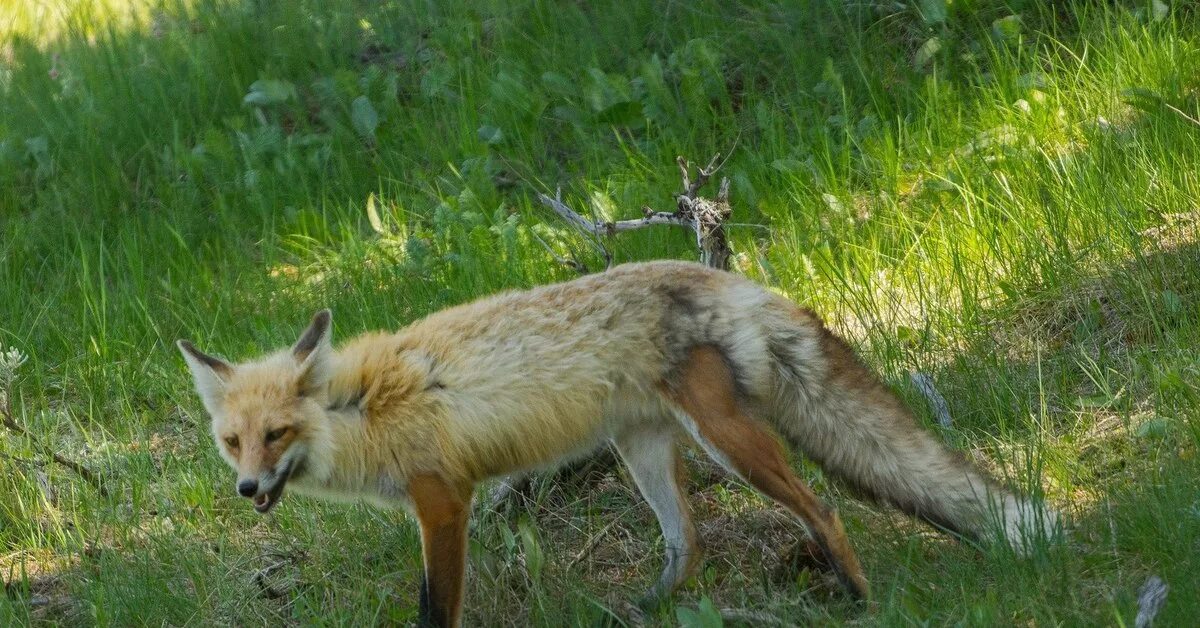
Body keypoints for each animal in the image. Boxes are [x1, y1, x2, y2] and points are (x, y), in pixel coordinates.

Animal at [180, 260, 1060, 628]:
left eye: (277, 435)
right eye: (233, 443)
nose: (249, 491)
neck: (360, 410)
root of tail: (734, 280)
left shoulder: (444, 501)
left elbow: (437, 609)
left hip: (727, 441)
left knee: (822, 508)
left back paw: (859, 599)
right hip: (647, 455)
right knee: (689, 543)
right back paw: (645, 612)